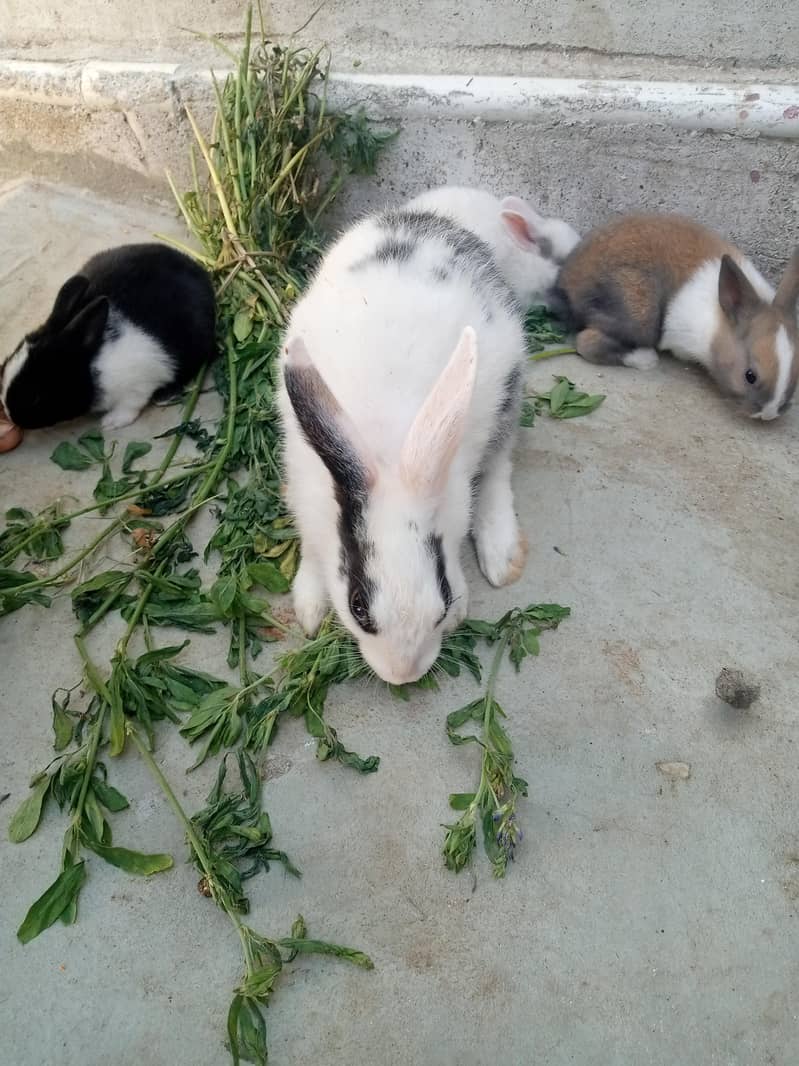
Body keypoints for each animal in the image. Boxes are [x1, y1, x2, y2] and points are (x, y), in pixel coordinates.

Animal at [1, 243, 216, 432]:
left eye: (34, 397)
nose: (11, 417)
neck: (93, 364)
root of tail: (200, 272)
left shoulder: (139, 384)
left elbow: (130, 406)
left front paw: (110, 423)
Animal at [278, 196, 530, 684]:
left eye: (443, 595)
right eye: (358, 606)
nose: (403, 675)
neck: (387, 453)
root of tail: (434, 220)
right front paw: (310, 609)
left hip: (506, 395)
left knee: (499, 464)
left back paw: (501, 552)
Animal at [554, 213, 799, 420]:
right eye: (750, 376)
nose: (768, 414)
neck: (717, 324)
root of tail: (567, 278)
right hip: (640, 314)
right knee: (587, 343)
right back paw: (645, 359)